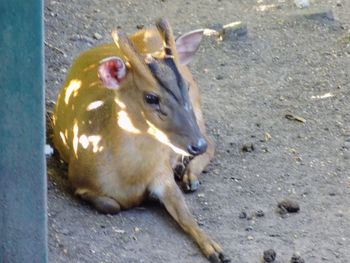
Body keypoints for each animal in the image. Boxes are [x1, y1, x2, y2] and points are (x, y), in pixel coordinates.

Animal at [52, 19, 230, 263]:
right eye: (151, 97)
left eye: (185, 86)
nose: (196, 145)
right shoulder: (78, 180)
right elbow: (112, 205)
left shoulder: (162, 174)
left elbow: (187, 215)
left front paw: (216, 249)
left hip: (199, 114)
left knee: (211, 141)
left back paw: (190, 176)